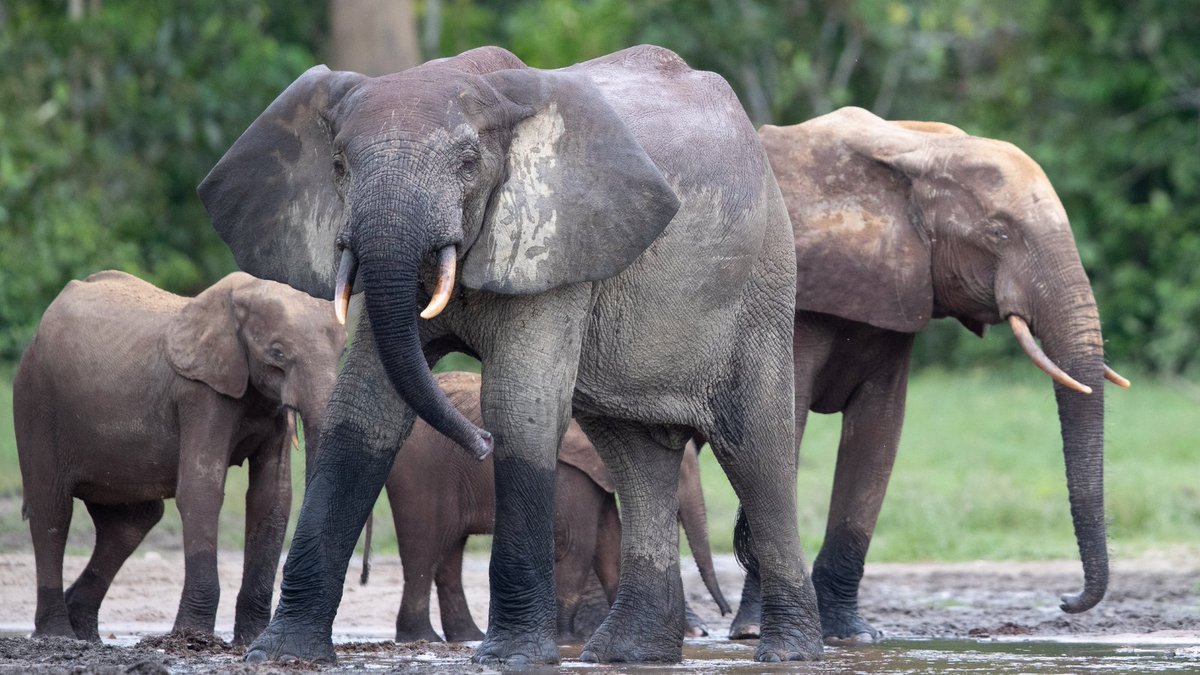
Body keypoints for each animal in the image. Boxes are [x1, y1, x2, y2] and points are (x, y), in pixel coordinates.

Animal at [12, 270, 345, 646]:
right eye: (277, 353)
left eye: (342, 351)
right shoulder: (199, 393)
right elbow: (201, 490)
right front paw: (194, 638)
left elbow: (271, 499)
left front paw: (251, 639)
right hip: (35, 399)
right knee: (52, 509)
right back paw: (58, 634)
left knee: (133, 521)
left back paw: (85, 632)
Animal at [376, 370, 729, 644]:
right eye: (678, 474)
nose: (724, 612)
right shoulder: (570, 472)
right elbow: (579, 546)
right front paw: (567, 641)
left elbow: (609, 545)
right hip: (419, 471)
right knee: (423, 549)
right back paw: (424, 639)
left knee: (450, 551)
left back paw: (468, 638)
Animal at [727, 107, 1129, 643]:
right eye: (999, 233)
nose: (1065, 601)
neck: (915, 151)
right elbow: (779, 430)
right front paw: (754, 633)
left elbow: (878, 432)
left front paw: (854, 635)